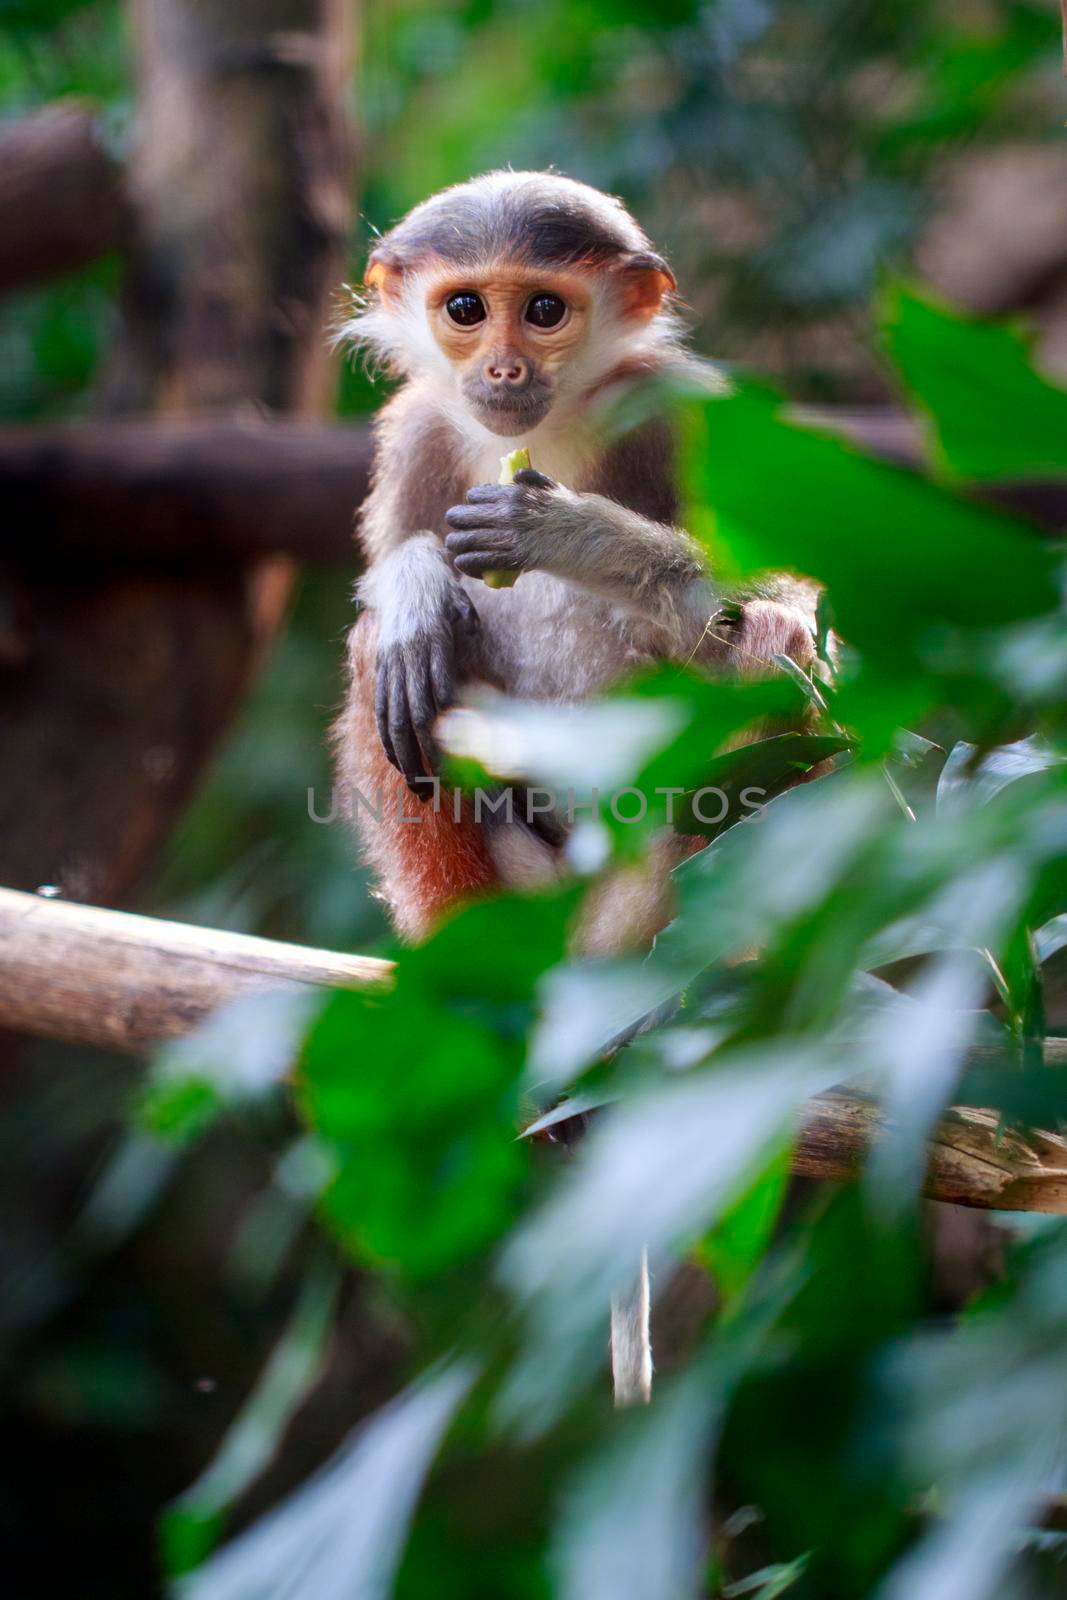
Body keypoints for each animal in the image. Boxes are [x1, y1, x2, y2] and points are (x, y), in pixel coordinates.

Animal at [337, 172, 825, 947]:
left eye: (544, 310)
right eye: (466, 309)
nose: (504, 368)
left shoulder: (677, 403)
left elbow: (792, 586)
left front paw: (561, 528)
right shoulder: (418, 433)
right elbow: (387, 580)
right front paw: (416, 587)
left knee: (774, 641)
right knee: (381, 657)